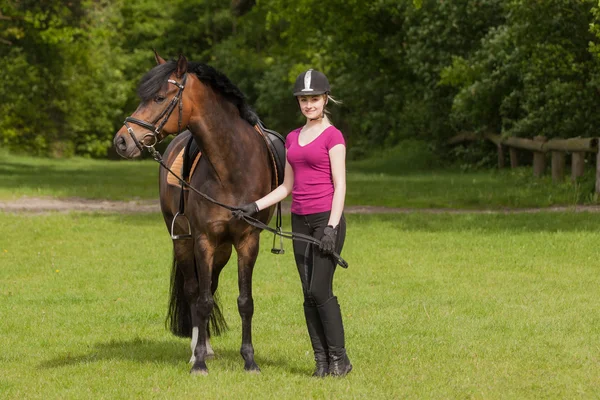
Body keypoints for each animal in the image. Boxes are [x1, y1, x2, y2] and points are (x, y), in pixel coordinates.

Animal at [113, 53, 276, 376]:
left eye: (159, 97)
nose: (122, 141)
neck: (232, 166)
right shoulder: (203, 240)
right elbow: (201, 300)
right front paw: (198, 361)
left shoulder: (247, 241)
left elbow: (244, 301)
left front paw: (249, 360)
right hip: (183, 240)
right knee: (193, 290)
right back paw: (197, 350)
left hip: (223, 249)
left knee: (209, 286)